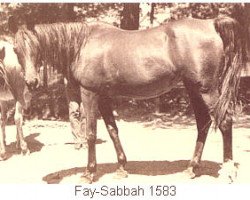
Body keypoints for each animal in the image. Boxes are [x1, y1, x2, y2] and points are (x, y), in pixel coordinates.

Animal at [9, 16, 244, 184]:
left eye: (36, 47)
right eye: (16, 49)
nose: (31, 82)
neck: (82, 44)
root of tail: (212, 24)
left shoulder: (90, 94)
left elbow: (91, 133)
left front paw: (89, 173)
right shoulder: (103, 97)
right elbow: (113, 130)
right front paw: (121, 168)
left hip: (207, 90)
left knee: (224, 121)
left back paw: (228, 170)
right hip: (193, 89)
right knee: (203, 123)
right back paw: (191, 169)